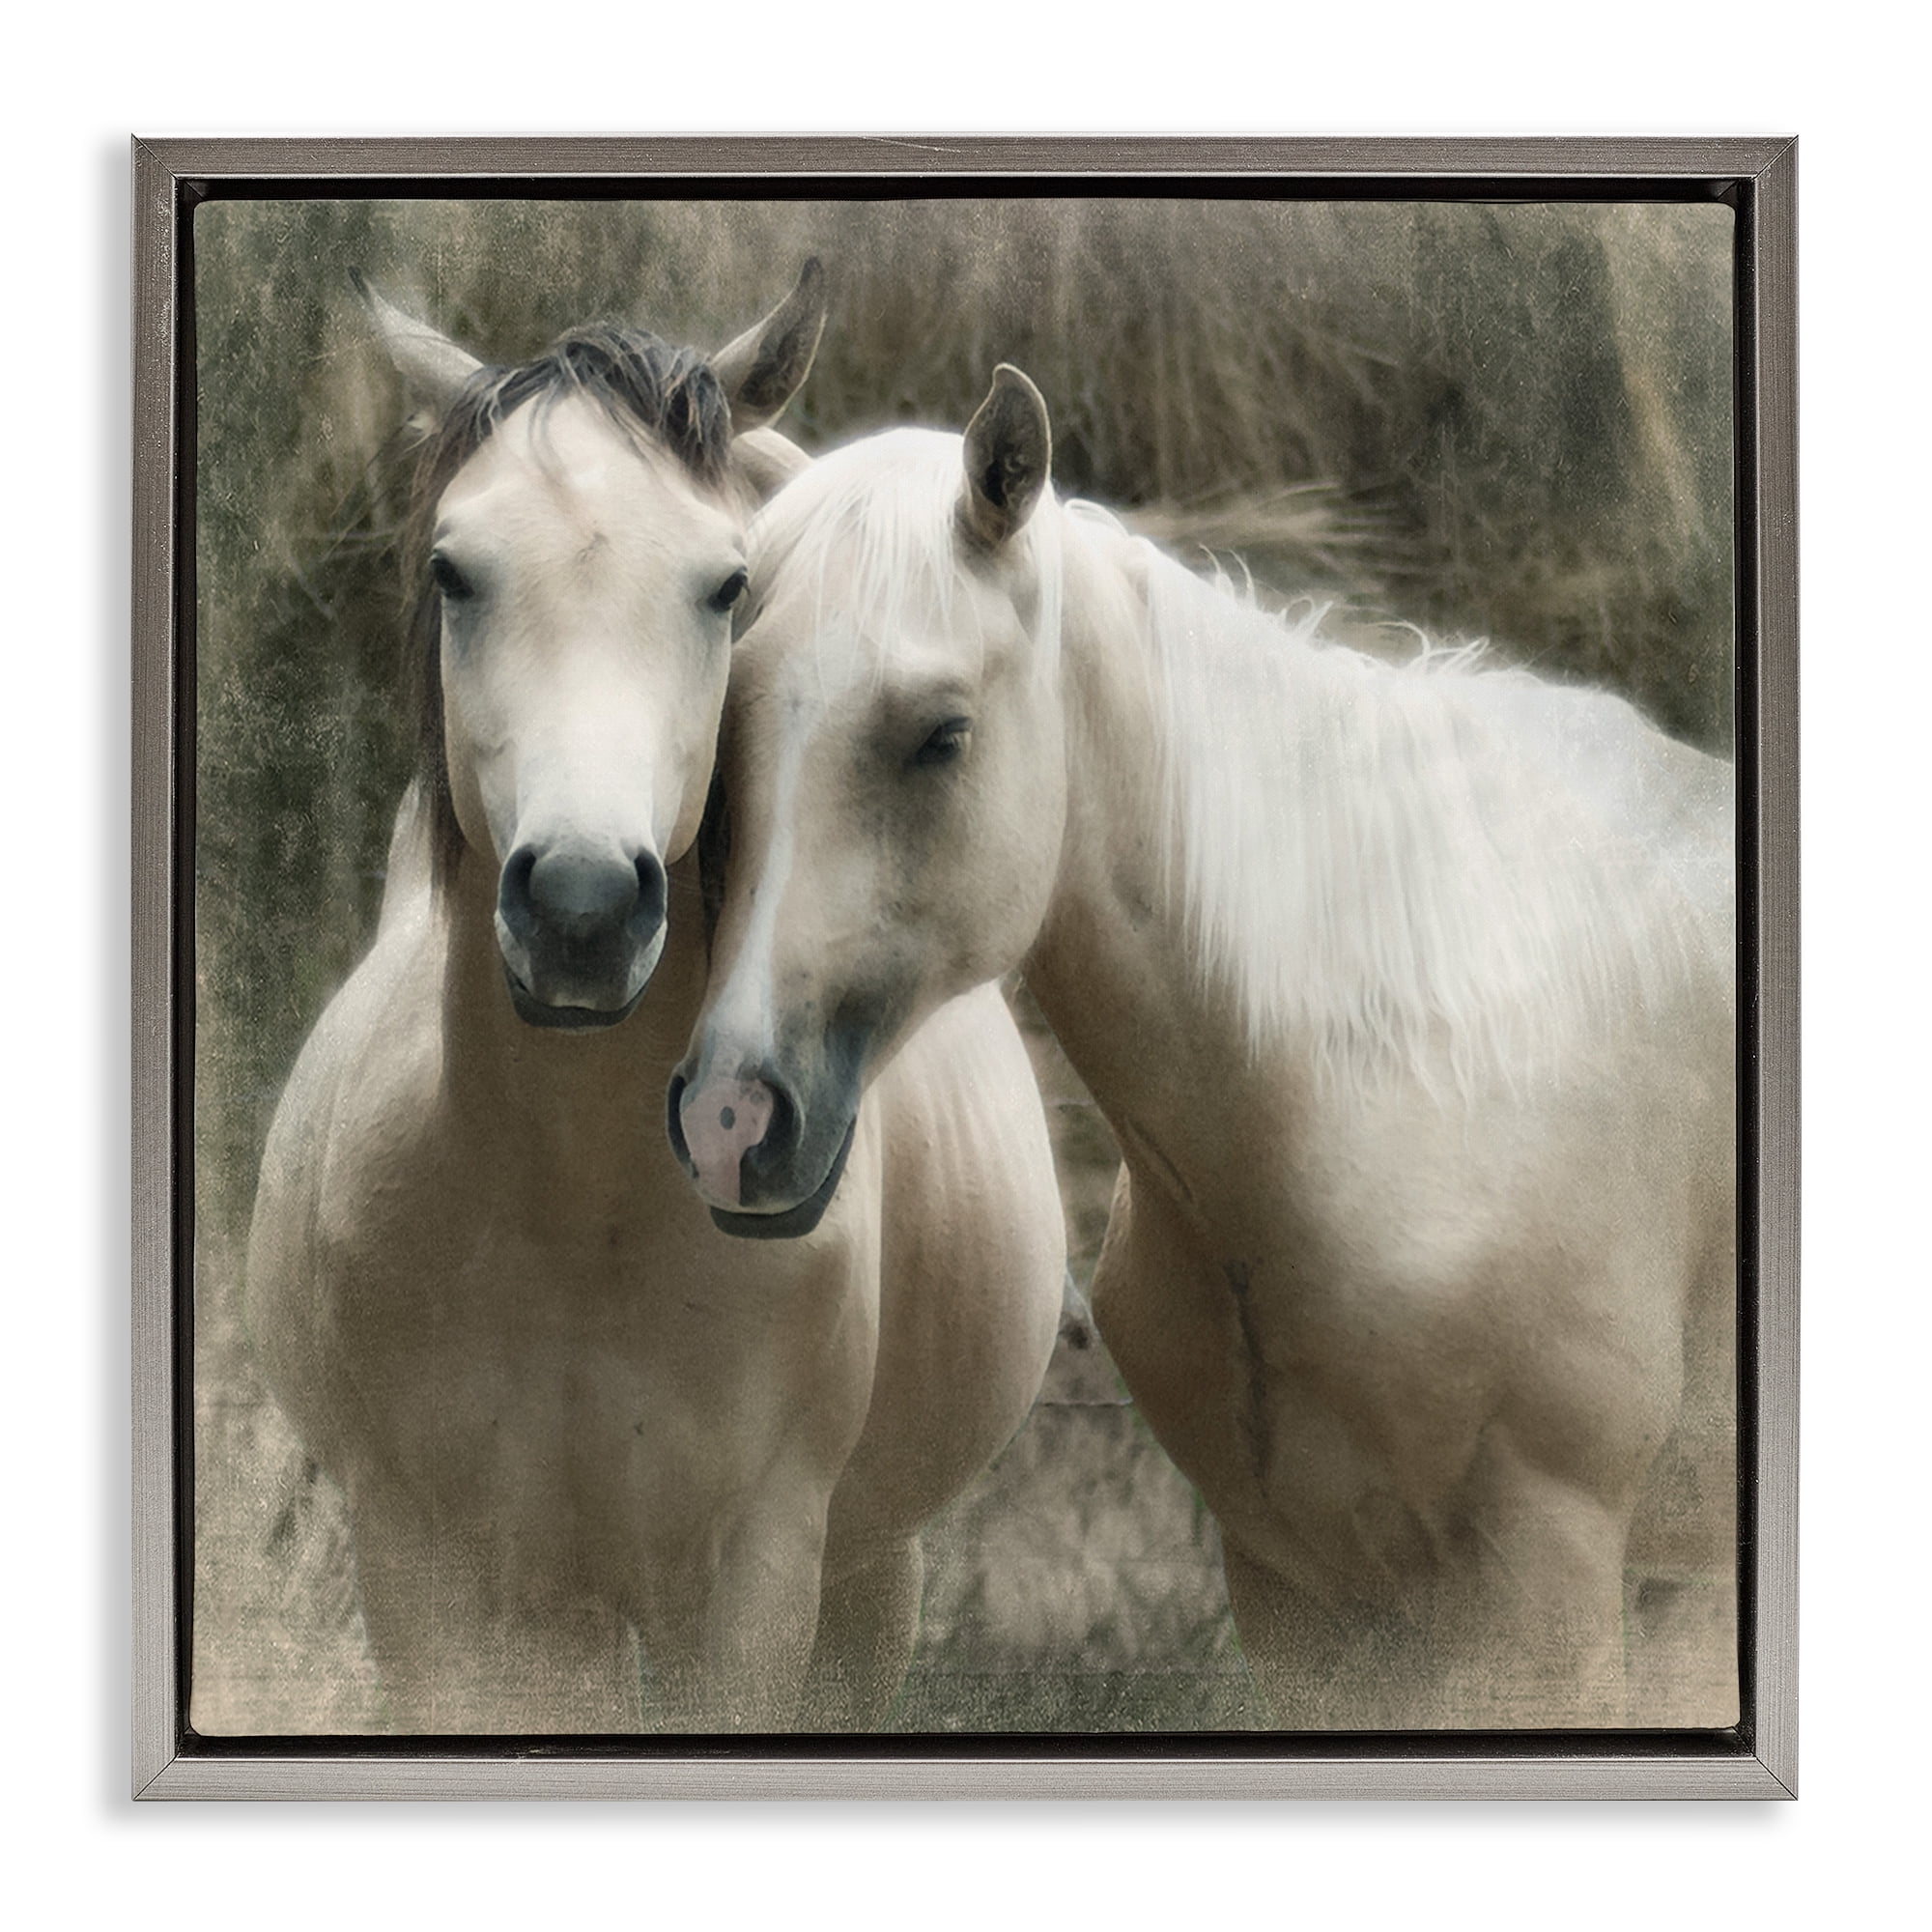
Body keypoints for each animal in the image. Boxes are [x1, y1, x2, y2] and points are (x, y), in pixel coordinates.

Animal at [243, 288, 1066, 1735]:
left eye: (726, 584)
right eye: (453, 571)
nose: (580, 904)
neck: (578, 1219)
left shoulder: (748, 1588)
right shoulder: (431, 1579)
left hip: (869, 1574)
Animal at [671, 365, 1737, 1729]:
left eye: (941, 734)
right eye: (725, 736)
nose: (729, 1120)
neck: (1407, 1077)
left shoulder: (1542, 1595)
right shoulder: (1304, 1599)